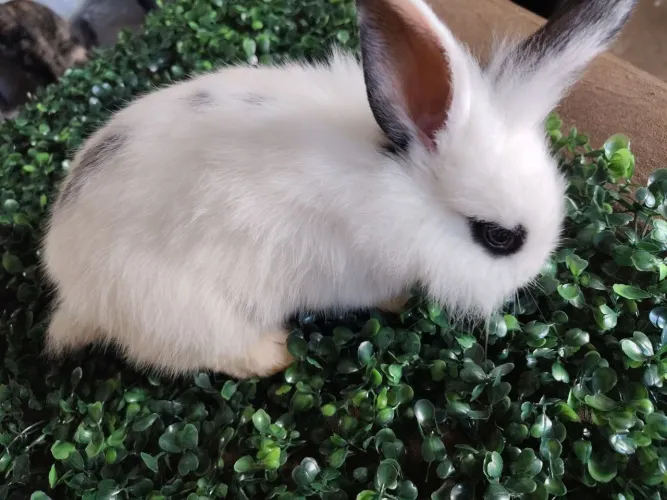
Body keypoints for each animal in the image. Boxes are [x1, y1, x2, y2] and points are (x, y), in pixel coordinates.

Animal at [41, 0, 637, 379]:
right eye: (498, 238)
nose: (529, 281)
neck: (398, 190)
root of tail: (70, 285)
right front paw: (399, 301)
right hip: (182, 310)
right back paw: (276, 355)